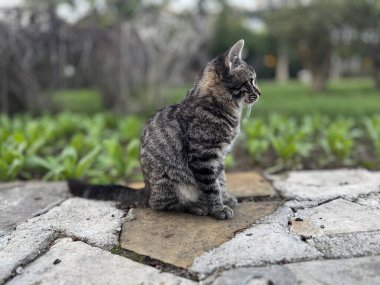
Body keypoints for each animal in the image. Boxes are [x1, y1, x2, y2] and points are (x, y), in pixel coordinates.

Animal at [68, 38, 260, 220]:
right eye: (251, 81)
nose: (259, 93)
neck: (218, 105)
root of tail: (146, 188)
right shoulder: (203, 157)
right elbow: (212, 187)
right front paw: (218, 208)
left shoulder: (219, 157)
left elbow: (221, 180)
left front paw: (225, 198)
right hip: (172, 183)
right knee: (161, 204)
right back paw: (196, 206)